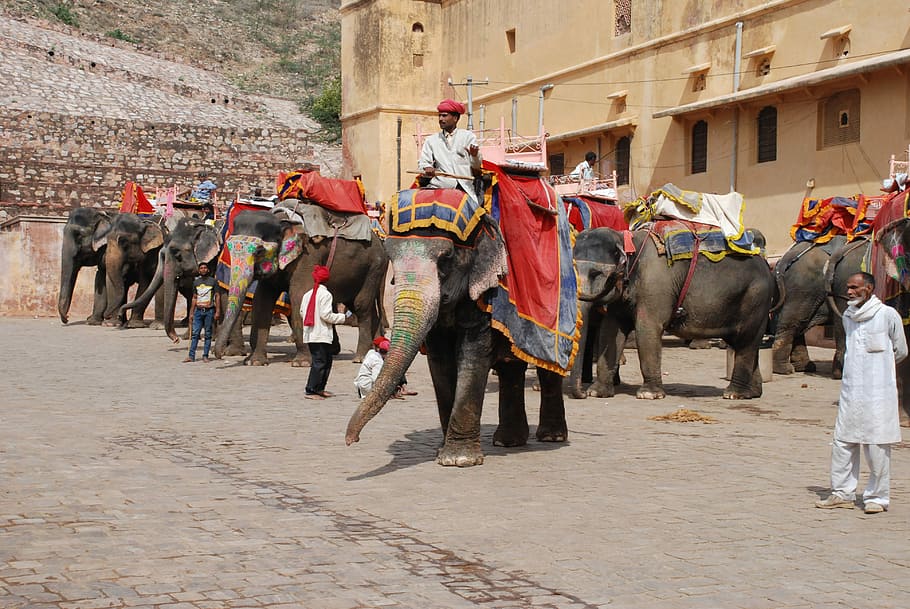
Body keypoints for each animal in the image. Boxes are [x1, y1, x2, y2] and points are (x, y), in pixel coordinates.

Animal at [216, 203, 390, 366]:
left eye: (259, 251)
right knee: (360, 306)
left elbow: (299, 296)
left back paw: (360, 358)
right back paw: (376, 350)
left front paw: (302, 363)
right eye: (228, 247)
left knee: (361, 306)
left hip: (374, 268)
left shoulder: (307, 257)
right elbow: (262, 300)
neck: (282, 221)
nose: (218, 355)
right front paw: (255, 362)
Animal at [572, 227, 772, 400]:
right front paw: (596, 393)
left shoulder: (655, 285)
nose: (582, 394)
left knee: (746, 342)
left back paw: (734, 394)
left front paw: (648, 395)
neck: (627, 240)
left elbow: (647, 329)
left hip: (755, 298)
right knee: (746, 344)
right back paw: (753, 393)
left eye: (595, 273)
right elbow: (610, 330)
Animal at [772, 236, 872, 376]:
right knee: (792, 322)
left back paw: (805, 367)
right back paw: (785, 370)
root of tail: (785, 258)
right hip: (803, 287)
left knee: (800, 323)